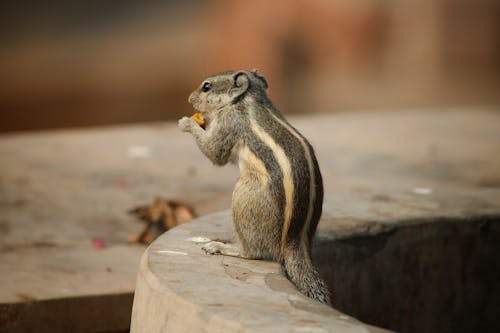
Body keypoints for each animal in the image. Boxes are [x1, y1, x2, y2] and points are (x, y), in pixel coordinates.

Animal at [178, 69, 330, 304]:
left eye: (206, 87)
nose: (189, 99)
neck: (248, 99)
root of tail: (294, 240)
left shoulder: (228, 124)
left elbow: (215, 152)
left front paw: (187, 123)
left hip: (244, 196)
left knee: (252, 253)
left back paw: (222, 247)